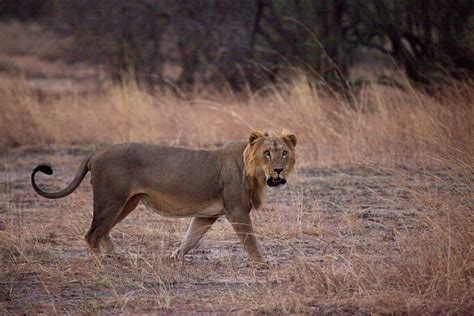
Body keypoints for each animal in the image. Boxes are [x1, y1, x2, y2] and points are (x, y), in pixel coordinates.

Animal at [30, 130, 296, 262]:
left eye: (284, 152)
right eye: (267, 153)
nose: (278, 171)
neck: (255, 172)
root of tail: (96, 153)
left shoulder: (207, 216)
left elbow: (191, 238)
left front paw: (174, 257)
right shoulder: (237, 210)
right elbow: (250, 239)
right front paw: (262, 263)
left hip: (127, 202)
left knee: (103, 231)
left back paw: (117, 256)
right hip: (110, 200)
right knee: (92, 234)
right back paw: (101, 262)